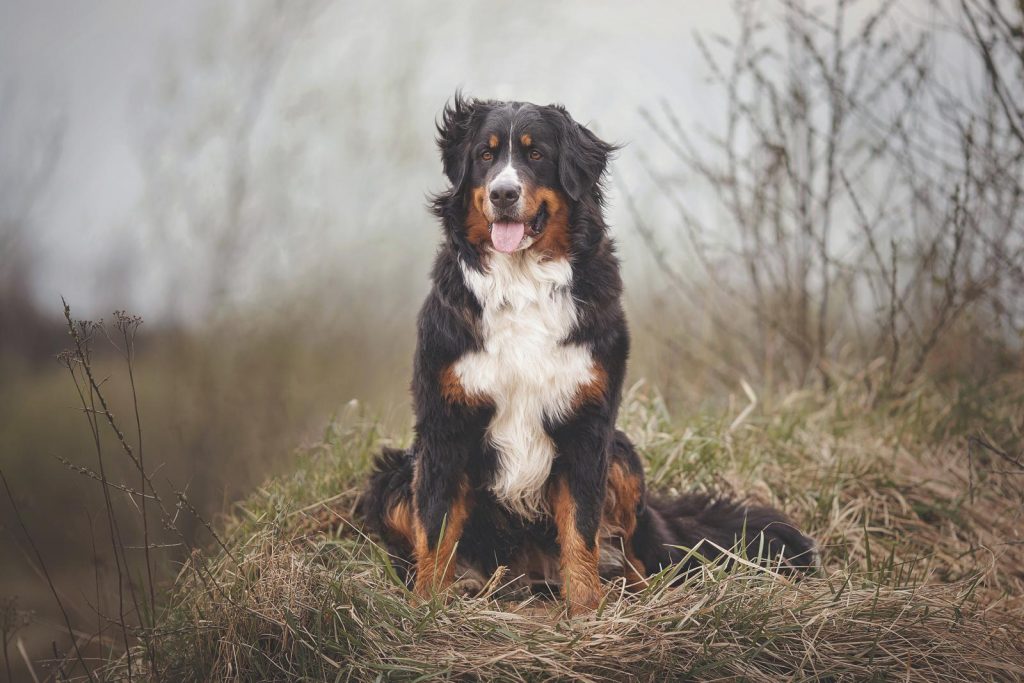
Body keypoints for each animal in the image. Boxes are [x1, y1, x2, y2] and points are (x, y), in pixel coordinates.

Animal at [358, 96, 815, 614]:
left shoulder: (586, 425)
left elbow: (581, 530)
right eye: (485, 155)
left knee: (635, 553)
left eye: (536, 155)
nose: (502, 193)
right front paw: (426, 608)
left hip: (622, 455)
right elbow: (435, 529)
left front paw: (586, 611)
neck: (522, 284)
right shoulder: (444, 426)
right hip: (395, 475)